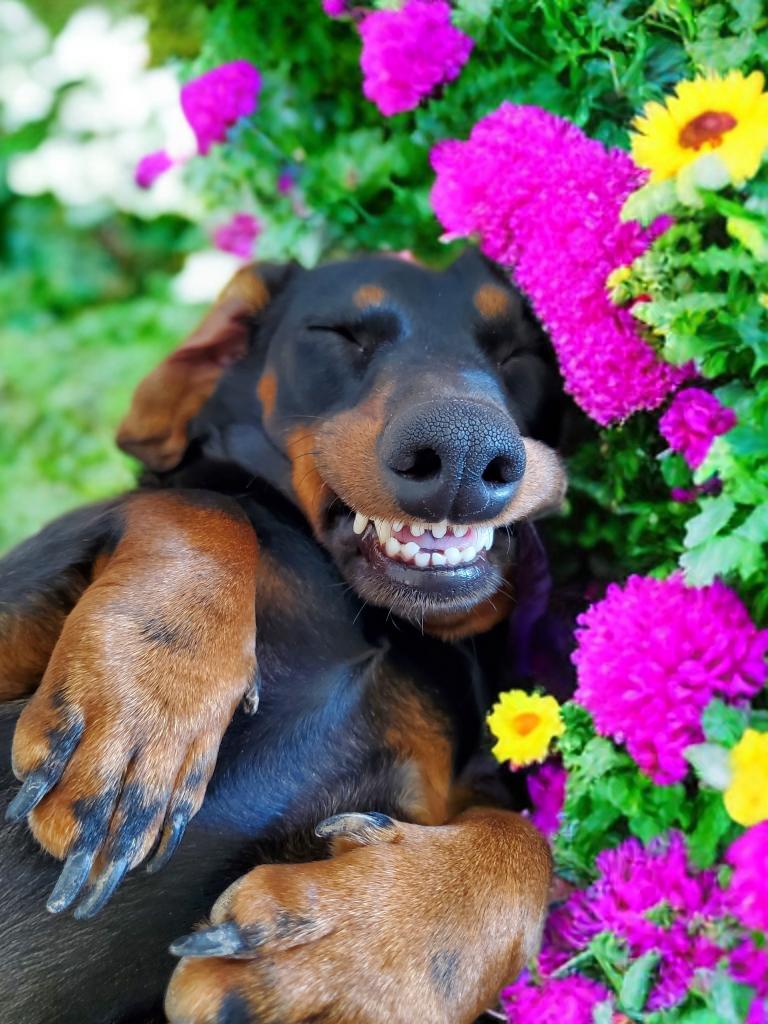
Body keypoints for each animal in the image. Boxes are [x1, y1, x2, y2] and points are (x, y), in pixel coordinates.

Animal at [0, 250, 567, 1023]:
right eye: (336, 332)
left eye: (518, 354)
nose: (464, 454)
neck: (371, 621)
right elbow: (202, 503)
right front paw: (140, 722)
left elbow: (527, 840)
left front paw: (336, 955)